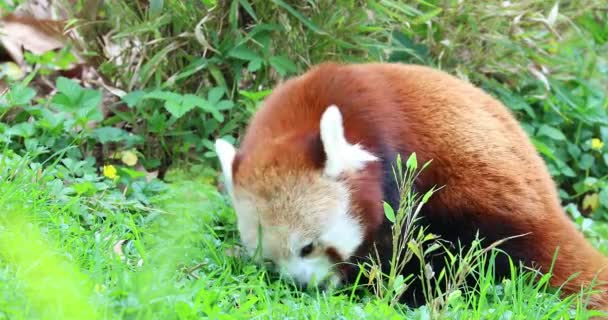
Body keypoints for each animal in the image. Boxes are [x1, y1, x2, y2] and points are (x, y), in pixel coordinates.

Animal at [215, 62, 608, 310]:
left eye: (308, 247)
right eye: (269, 260)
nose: (301, 285)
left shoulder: (397, 163)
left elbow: (394, 244)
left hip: (486, 207)